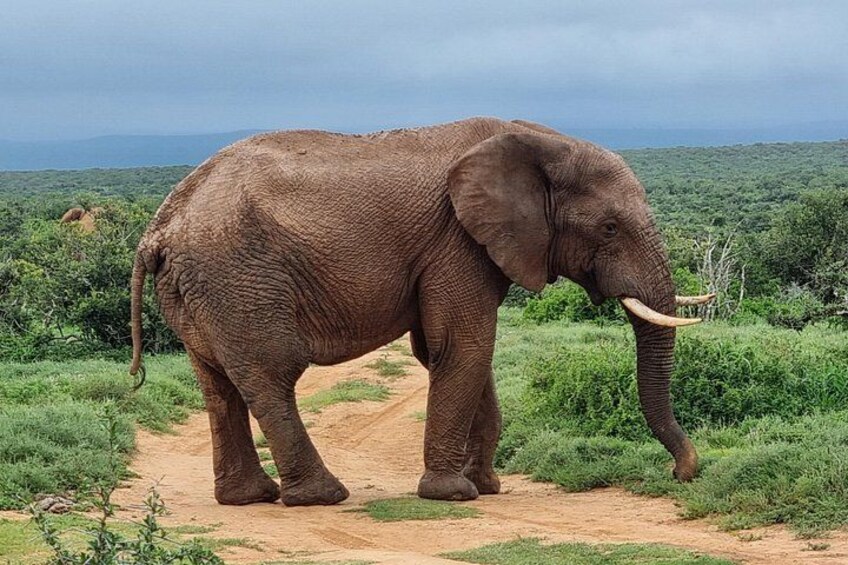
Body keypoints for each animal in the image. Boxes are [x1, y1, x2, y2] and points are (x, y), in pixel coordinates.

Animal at [129, 117, 710, 507]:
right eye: (609, 228)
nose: (683, 474)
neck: (535, 139)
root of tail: (158, 228)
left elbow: (450, 352)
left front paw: (486, 487)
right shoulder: (457, 242)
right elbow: (464, 344)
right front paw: (454, 494)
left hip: (201, 288)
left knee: (217, 383)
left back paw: (248, 498)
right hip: (238, 277)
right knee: (270, 375)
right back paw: (323, 496)